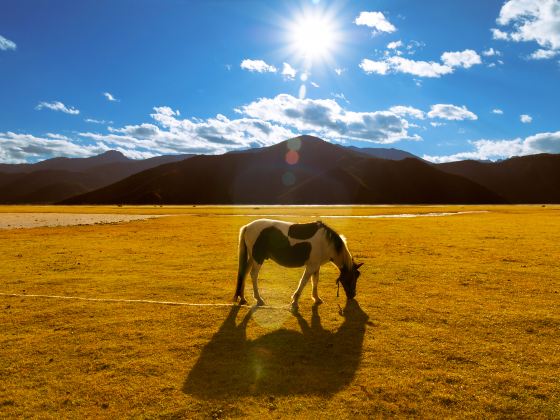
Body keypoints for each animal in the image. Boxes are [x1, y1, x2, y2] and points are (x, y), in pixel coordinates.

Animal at [232, 220, 364, 308]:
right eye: (352, 277)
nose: (352, 295)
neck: (327, 243)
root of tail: (248, 226)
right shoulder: (311, 266)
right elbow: (304, 281)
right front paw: (295, 300)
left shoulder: (316, 266)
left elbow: (315, 281)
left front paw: (316, 298)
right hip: (258, 259)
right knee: (253, 275)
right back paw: (259, 299)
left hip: (252, 258)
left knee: (244, 273)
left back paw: (242, 298)